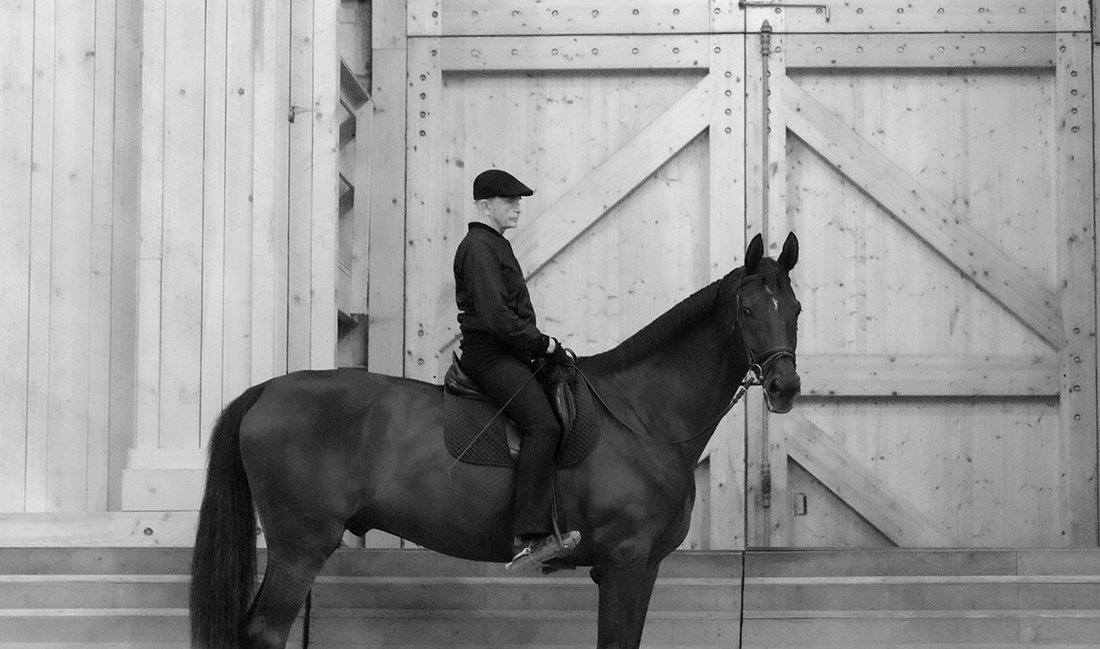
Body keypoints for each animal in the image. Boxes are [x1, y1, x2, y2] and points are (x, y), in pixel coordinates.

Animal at [184, 234, 796, 649]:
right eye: (746, 310)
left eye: (794, 309)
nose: (785, 387)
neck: (642, 416)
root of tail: (267, 390)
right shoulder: (623, 564)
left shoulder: (643, 569)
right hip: (299, 548)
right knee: (264, 631)